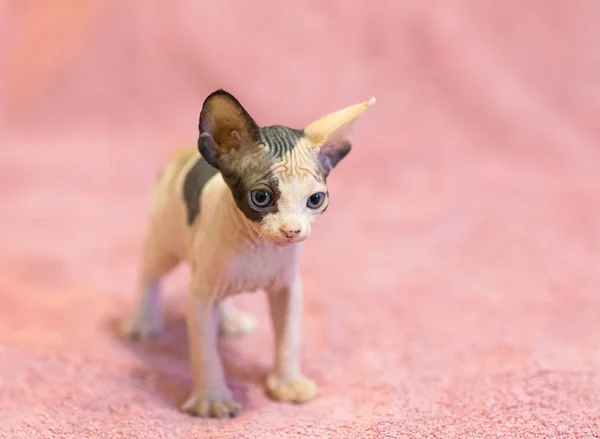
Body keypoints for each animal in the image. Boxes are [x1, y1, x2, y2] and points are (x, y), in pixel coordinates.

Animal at [121, 90, 376, 420]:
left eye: (316, 199)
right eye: (261, 197)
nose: (293, 230)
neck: (257, 245)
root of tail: (182, 153)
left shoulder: (288, 287)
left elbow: (289, 337)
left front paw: (288, 384)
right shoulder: (200, 295)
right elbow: (205, 351)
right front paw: (212, 399)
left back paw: (228, 321)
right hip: (165, 238)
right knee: (150, 273)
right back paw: (141, 321)